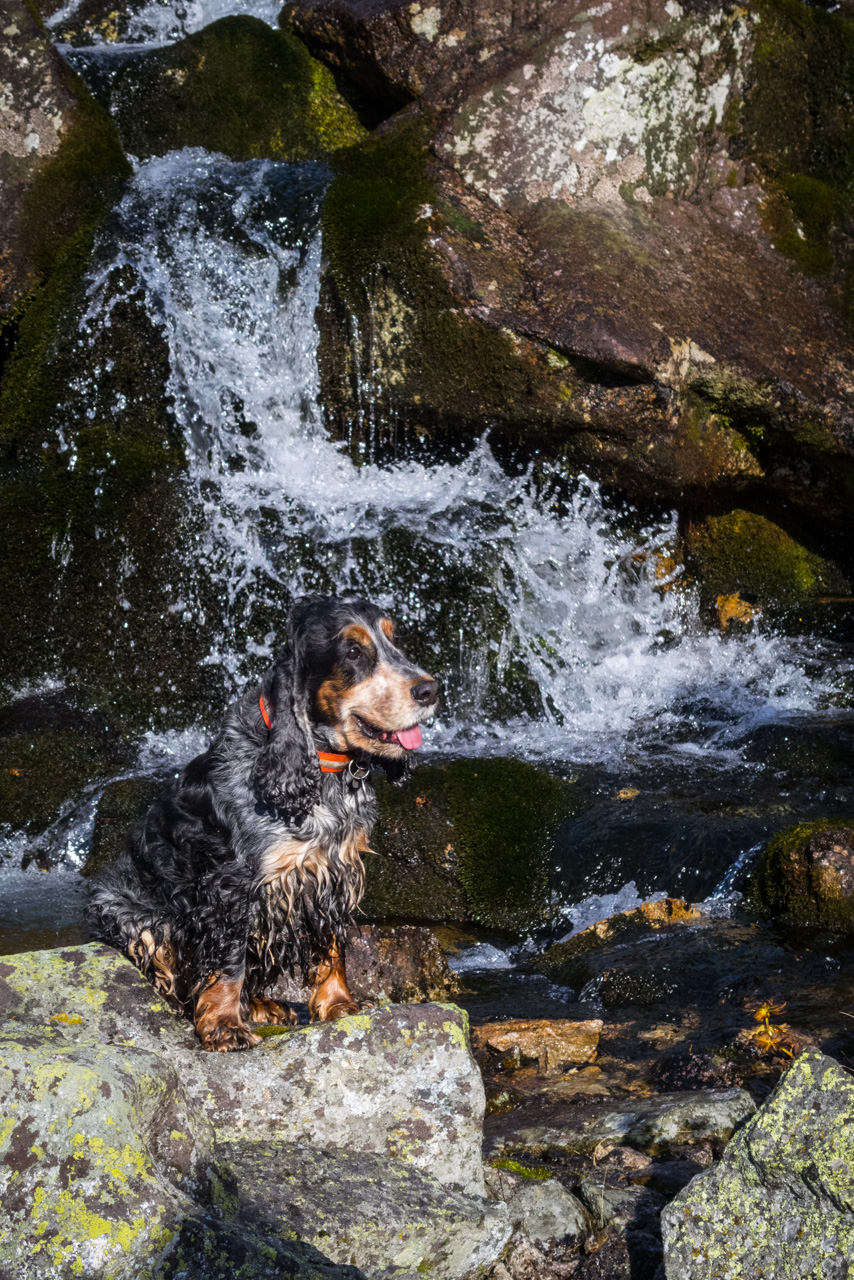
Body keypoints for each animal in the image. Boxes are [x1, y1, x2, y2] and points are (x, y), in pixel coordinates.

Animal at [88, 591, 440, 1049]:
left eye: (395, 641)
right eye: (353, 652)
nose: (431, 690)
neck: (320, 770)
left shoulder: (332, 874)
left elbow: (333, 946)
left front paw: (338, 1004)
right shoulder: (231, 885)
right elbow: (229, 961)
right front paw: (223, 1025)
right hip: (130, 915)